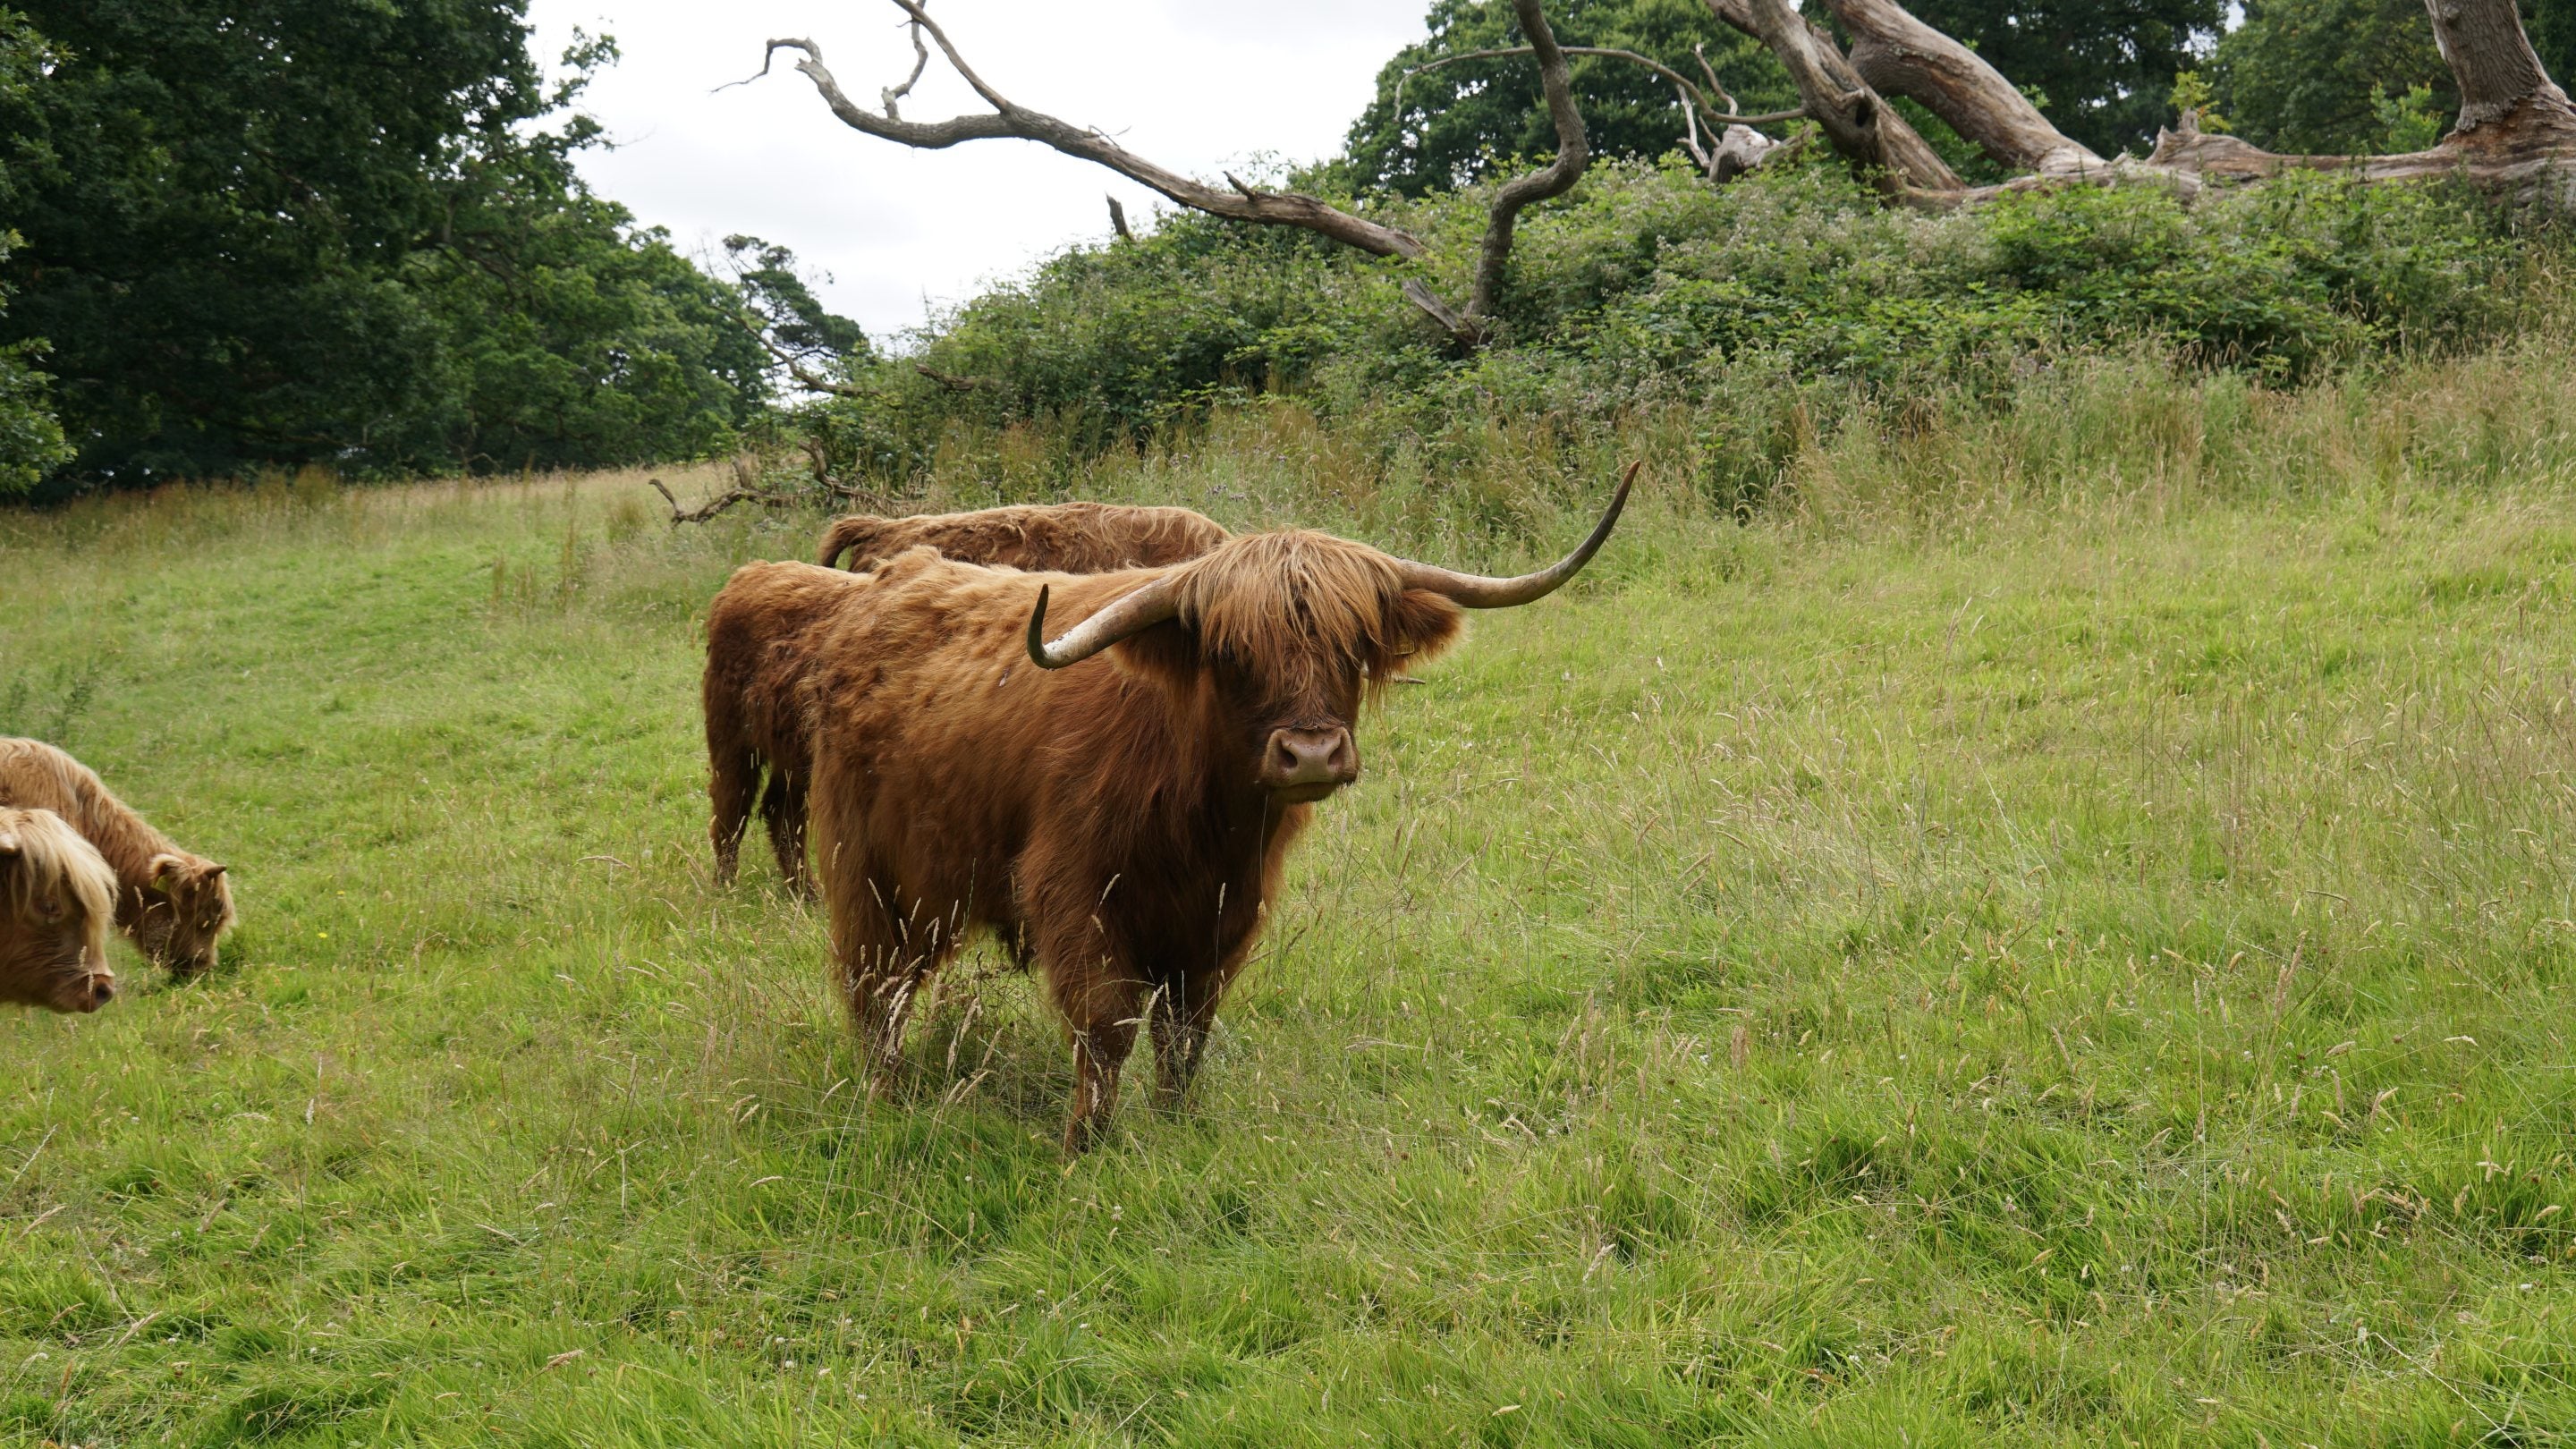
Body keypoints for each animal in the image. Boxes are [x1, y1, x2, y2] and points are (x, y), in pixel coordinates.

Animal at [707, 502, 1231, 892]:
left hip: (791, 754)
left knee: (780, 812)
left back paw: (806, 895)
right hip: (732, 740)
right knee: (731, 810)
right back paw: (729, 888)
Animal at [803, 464, 1635, 1149]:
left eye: (1354, 645)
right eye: (1232, 653)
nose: (1310, 754)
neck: (1201, 815)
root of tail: (888, 579)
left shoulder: (1225, 913)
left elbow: (1186, 1031)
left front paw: (1177, 1124)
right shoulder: (1073, 893)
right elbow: (1107, 1027)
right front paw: (1085, 1146)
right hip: (868, 869)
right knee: (876, 986)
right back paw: (886, 1097)